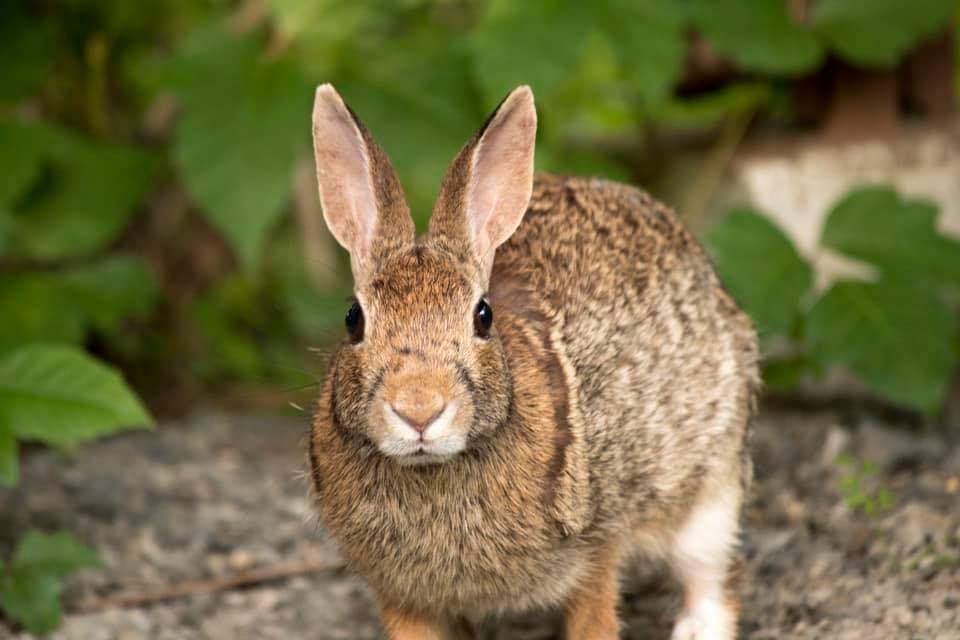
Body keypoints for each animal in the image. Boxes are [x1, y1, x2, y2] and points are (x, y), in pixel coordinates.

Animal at [307, 83, 759, 640]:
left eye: (482, 316)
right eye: (354, 320)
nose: (418, 410)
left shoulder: (596, 545)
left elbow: (595, 618)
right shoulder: (400, 592)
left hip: (711, 485)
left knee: (711, 579)